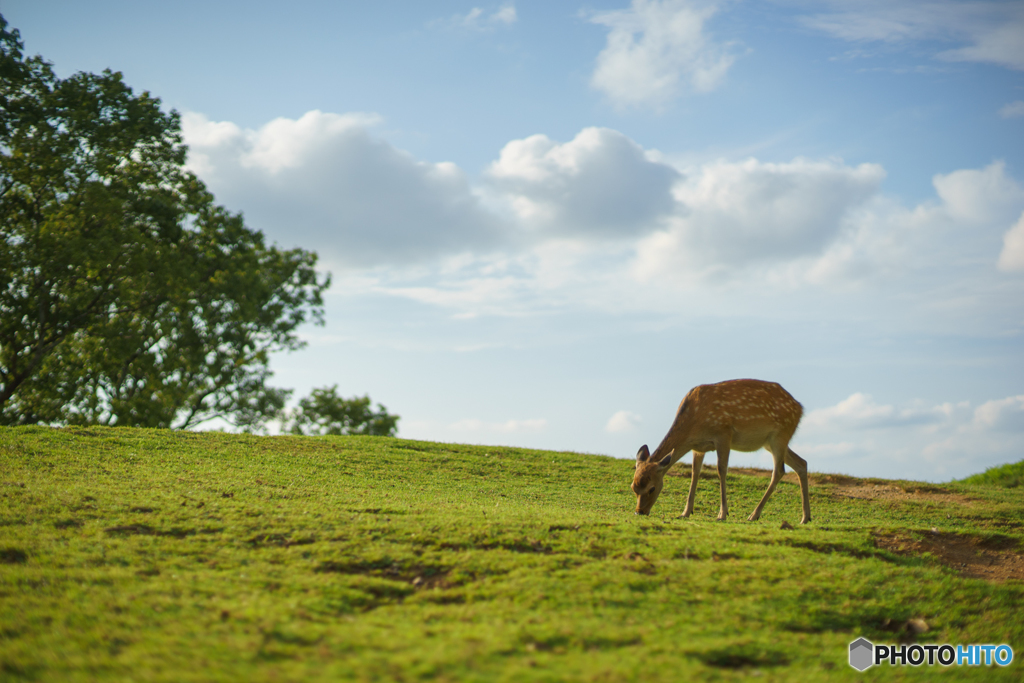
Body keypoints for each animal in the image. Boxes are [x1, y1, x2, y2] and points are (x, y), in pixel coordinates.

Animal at [630, 378, 806, 524]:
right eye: (633, 487)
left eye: (652, 488)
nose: (639, 512)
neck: (694, 425)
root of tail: (800, 408)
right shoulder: (698, 447)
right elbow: (695, 473)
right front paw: (685, 512)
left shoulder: (724, 434)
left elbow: (721, 470)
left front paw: (722, 514)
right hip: (770, 442)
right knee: (801, 463)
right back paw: (805, 518)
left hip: (780, 434)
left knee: (779, 471)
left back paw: (754, 515)